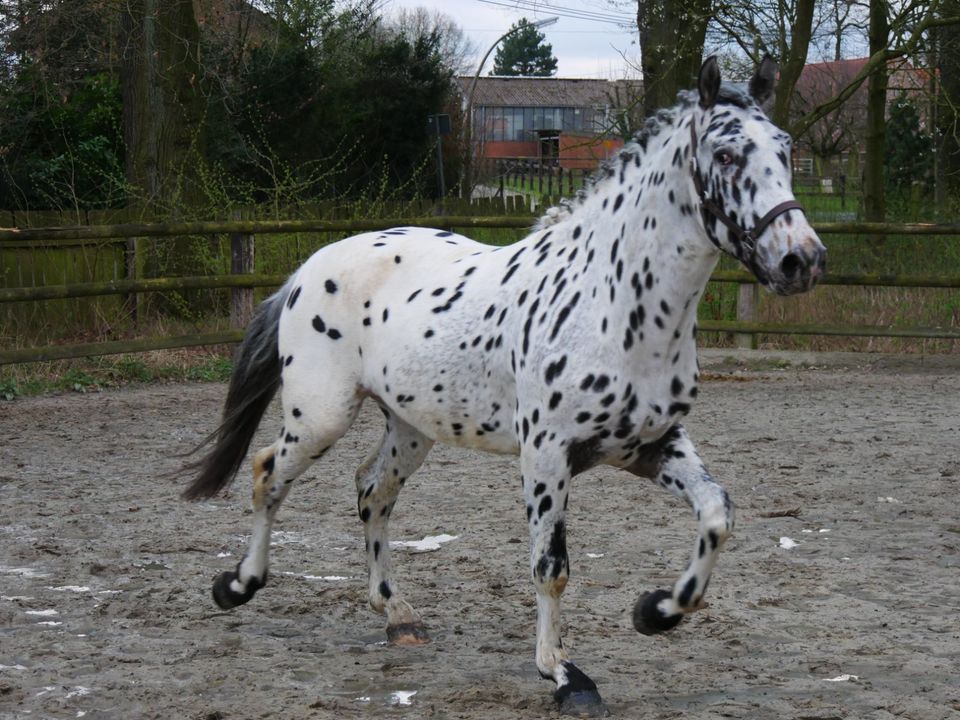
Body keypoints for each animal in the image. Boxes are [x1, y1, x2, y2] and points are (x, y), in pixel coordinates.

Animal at [186, 57, 824, 716]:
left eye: (785, 148)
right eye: (724, 154)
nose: (801, 260)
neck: (614, 301)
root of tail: (304, 272)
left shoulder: (652, 444)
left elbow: (717, 514)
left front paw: (656, 612)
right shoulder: (546, 455)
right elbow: (551, 567)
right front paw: (564, 675)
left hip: (410, 427)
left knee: (371, 492)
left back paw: (397, 615)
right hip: (320, 417)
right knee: (268, 473)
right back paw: (237, 585)